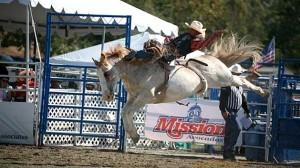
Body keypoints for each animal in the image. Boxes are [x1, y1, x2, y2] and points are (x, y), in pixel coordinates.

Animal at [92, 33, 268, 143]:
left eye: (106, 73)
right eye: (98, 74)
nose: (106, 96)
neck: (138, 68)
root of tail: (214, 58)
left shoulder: (146, 97)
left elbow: (128, 112)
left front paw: (135, 135)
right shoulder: (133, 98)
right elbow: (124, 111)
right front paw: (134, 136)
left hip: (223, 78)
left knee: (241, 80)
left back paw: (263, 91)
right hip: (222, 81)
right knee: (239, 80)